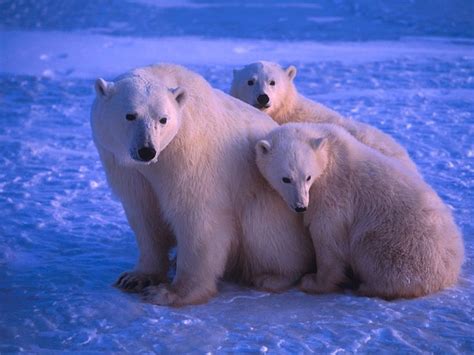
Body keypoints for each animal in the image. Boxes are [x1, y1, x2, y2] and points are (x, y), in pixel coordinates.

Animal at [91, 64, 316, 306]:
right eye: (130, 115)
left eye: (163, 119)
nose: (147, 150)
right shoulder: (126, 168)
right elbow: (145, 215)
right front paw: (136, 278)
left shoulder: (190, 155)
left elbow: (197, 216)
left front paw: (170, 292)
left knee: (264, 229)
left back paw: (271, 277)